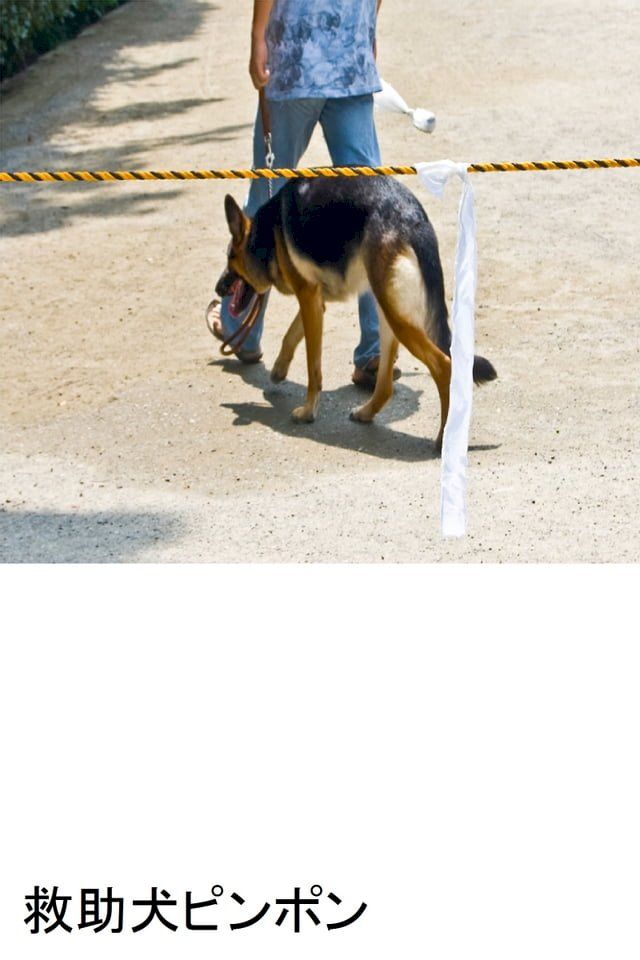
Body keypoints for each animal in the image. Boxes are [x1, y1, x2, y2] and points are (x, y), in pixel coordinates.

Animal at [215, 175, 496, 450]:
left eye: (230, 258)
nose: (218, 288)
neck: (268, 235)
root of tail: (414, 219)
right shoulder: (315, 301)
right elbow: (290, 336)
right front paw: (278, 370)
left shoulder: (307, 297)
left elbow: (312, 367)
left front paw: (307, 411)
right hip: (388, 312)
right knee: (386, 386)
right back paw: (365, 413)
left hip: (397, 318)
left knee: (444, 365)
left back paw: (443, 438)